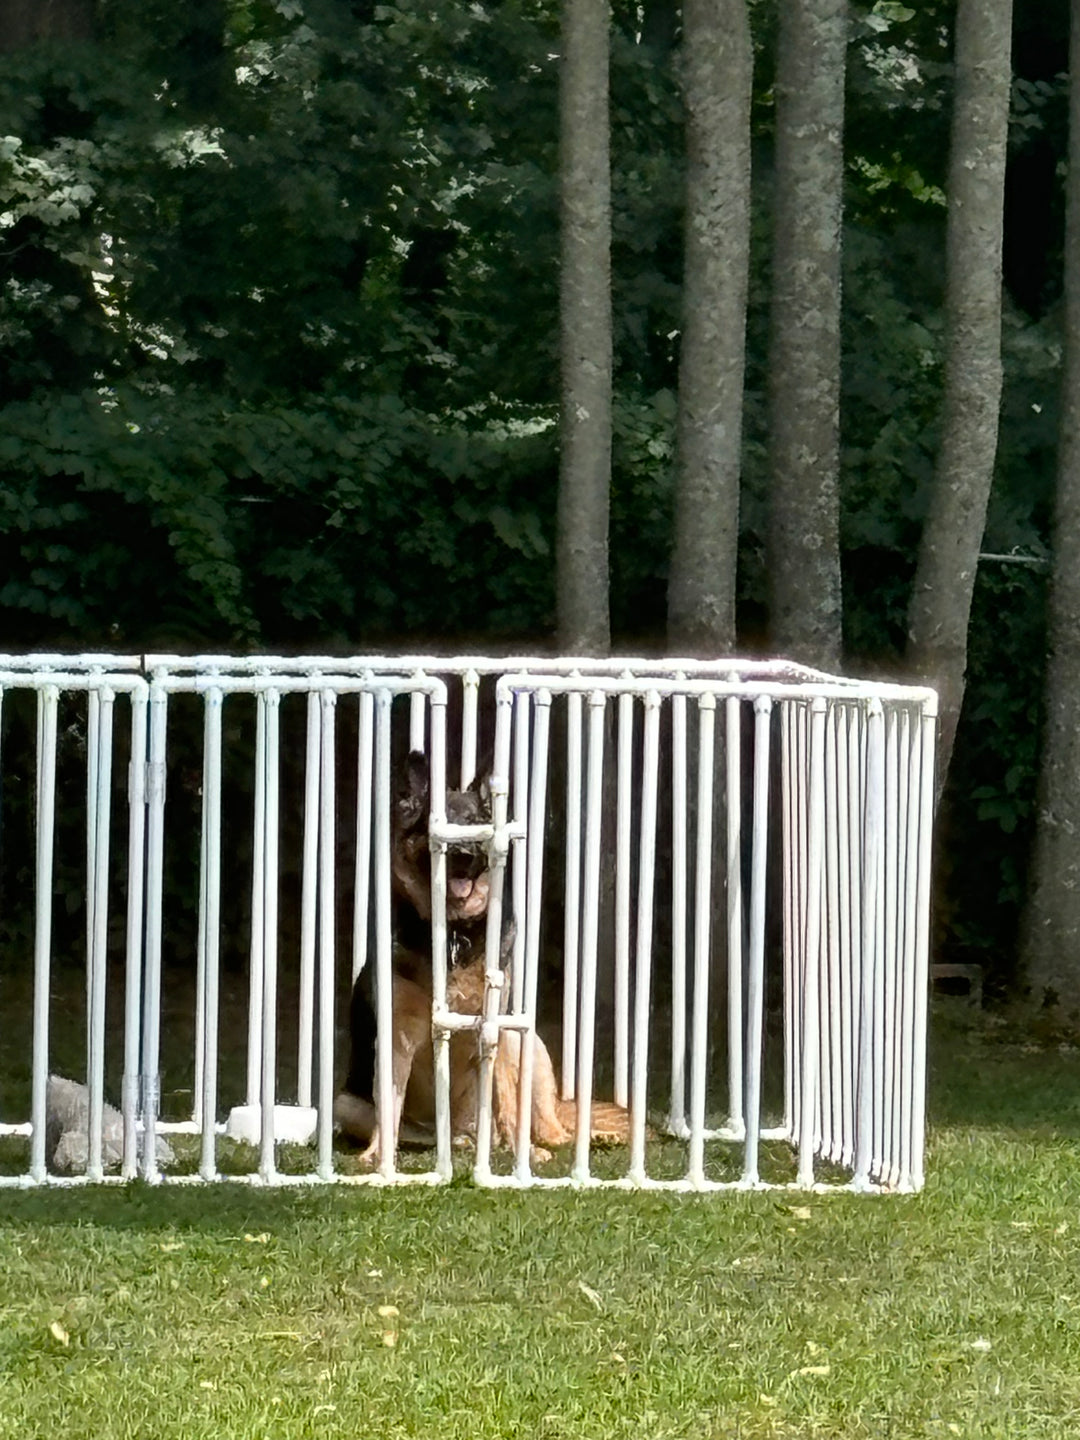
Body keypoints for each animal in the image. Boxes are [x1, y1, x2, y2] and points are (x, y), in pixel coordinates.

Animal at [336, 748, 596, 1163]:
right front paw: (378, 1158)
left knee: (540, 1119)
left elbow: (507, 1100)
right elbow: (389, 1104)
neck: (456, 932)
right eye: (437, 824)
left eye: (475, 824)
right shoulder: (396, 1039)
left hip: (523, 1041)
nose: (462, 854)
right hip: (346, 1102)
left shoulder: (494, 1029)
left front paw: (523, 1154)